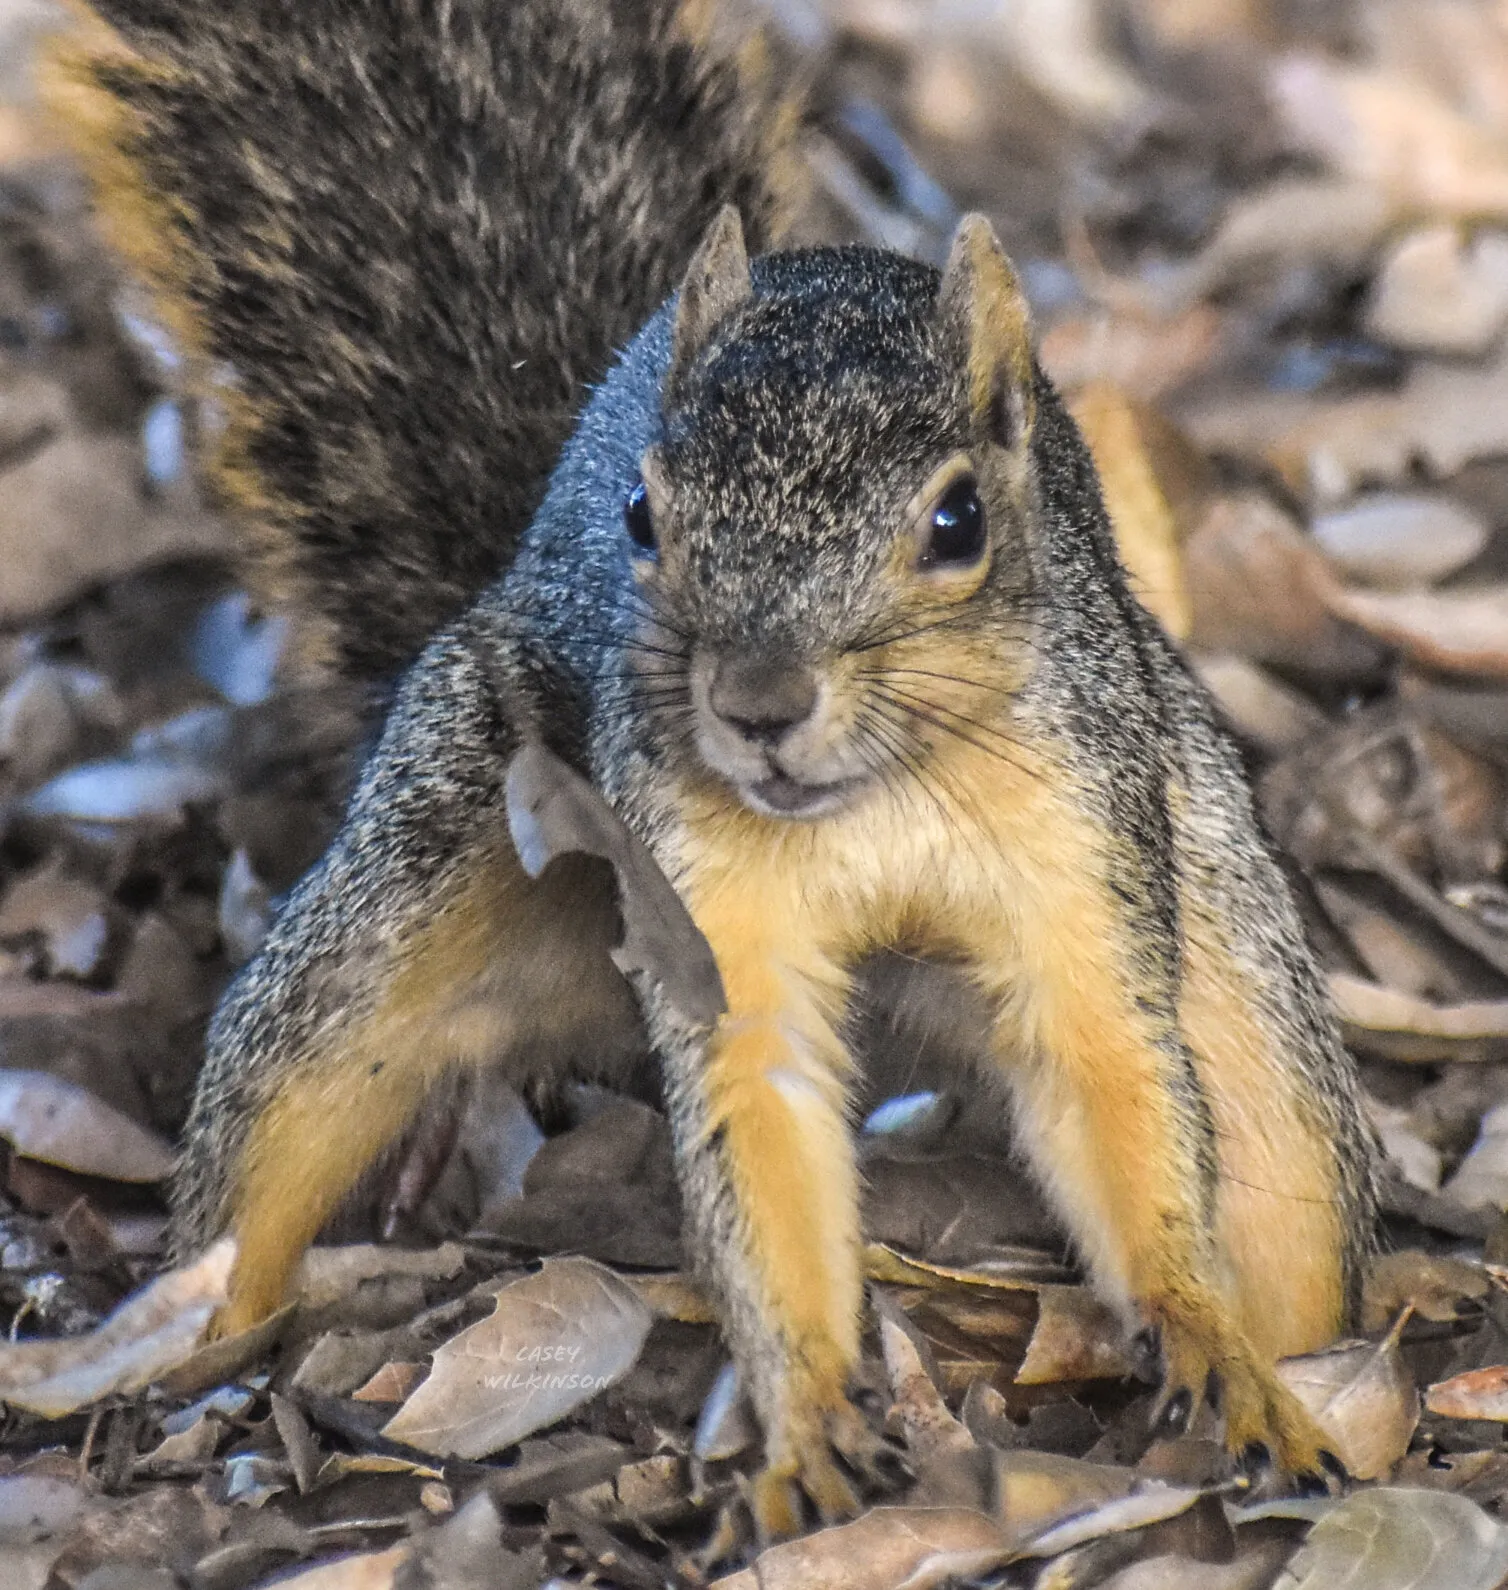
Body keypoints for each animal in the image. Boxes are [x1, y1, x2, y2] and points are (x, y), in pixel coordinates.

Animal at [51, 0, 1379, 1537]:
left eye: (959, 521)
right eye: (641, 511)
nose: (757, 705)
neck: (877, 794)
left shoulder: (1085, 837)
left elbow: (1106, 1068)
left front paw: (1208, 1339)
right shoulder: (701, 899)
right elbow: (762, 1106)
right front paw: (805, 1414)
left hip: (1214, 894)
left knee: (1280, 1167)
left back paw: (1304, 1366)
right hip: (436, 851)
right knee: (288, 1099)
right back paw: (184, 1352)